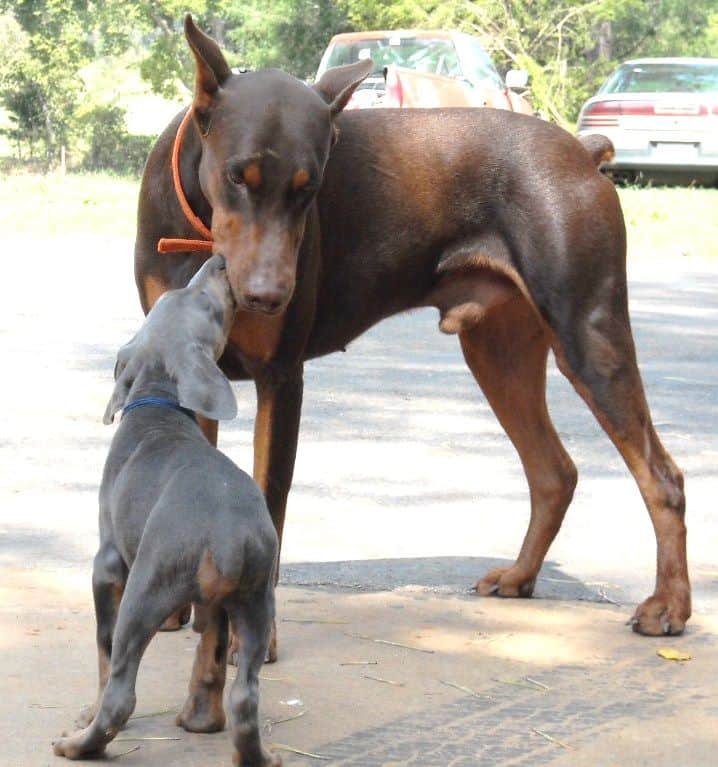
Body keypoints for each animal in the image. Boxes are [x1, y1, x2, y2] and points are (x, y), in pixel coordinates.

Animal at [50, 255, 280, 764]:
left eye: (201, 303)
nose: (218, 260)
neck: (159, 403)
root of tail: (228, 537)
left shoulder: (107, 563)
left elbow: (102, 649)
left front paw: (85, 711)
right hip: (255, 599)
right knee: (245, 695)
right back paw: (248, 749)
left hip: (147, 586)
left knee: (121, 691)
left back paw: (79, 744)